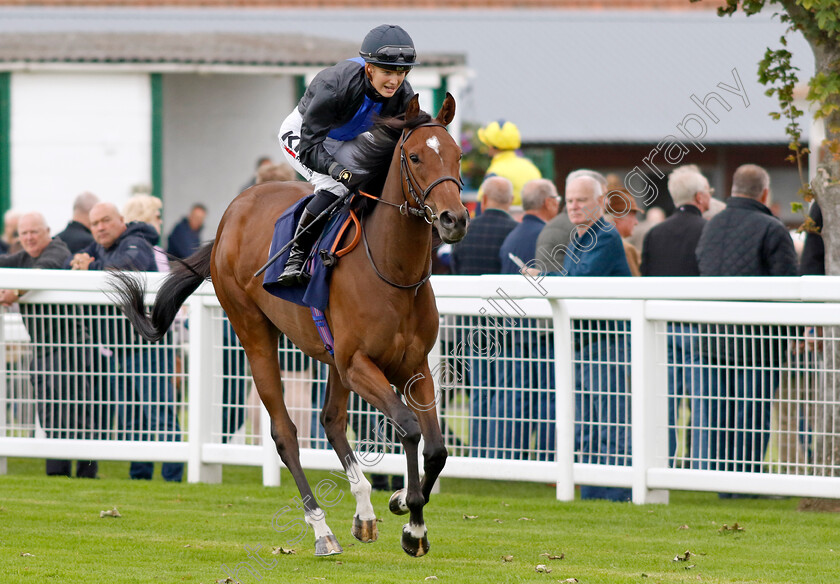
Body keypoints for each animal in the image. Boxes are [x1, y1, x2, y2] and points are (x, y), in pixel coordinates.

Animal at [108, 93, 470, 560]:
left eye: (457, 155)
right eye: (414, 156)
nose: (453, 220)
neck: (392, 271)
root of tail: (228, 218)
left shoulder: (413, 365)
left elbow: (437, 448)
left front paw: (405, 510)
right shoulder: (358, 363)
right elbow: (408, 428)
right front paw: (410, 521)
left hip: (329, 359)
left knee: (331, 421)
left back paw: (364, 512)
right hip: (254, 333)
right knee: (285, 433)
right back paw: (322, 530)